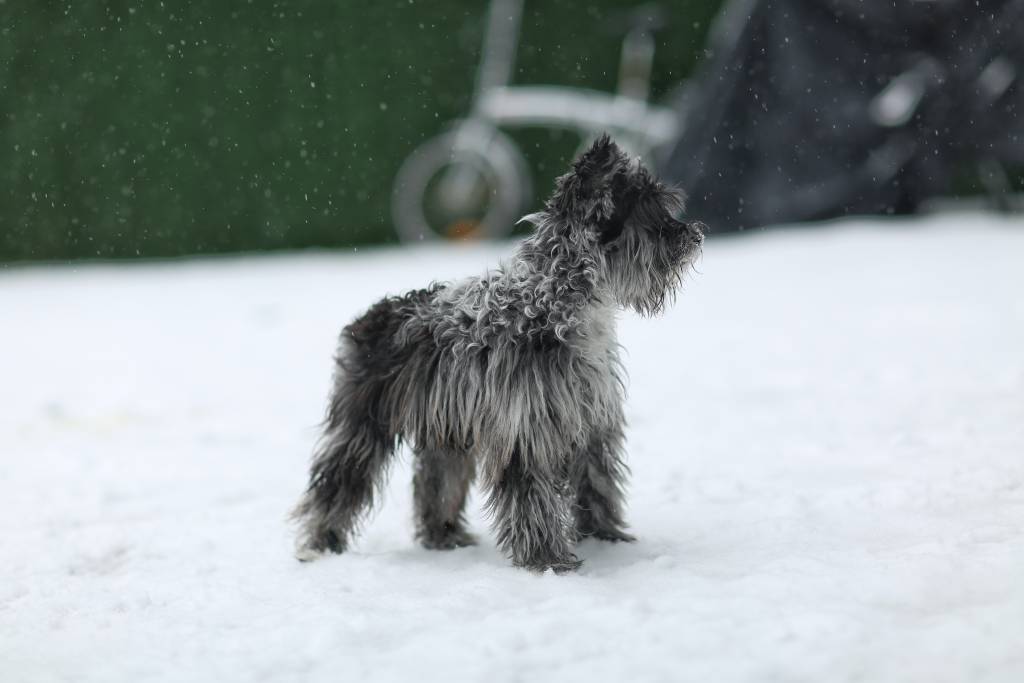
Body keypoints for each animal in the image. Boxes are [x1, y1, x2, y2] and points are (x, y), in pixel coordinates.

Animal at [292, 135, 704, 572]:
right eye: (646, 207)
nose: (694, 236)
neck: (555, 301)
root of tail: (372, 315)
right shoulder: (526, 429)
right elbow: (533, 498)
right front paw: (548, 560)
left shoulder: (591, 424)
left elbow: (596, 483)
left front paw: (606, 538)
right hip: (363, 425)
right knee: (339, 483)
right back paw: (319, 545)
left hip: (446, 431)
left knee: (435, 484)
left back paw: (444, 537)